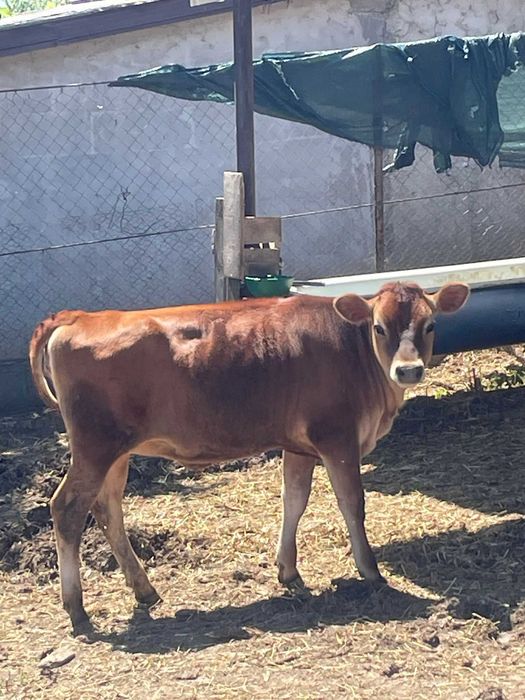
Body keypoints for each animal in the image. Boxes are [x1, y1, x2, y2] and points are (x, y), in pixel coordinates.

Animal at [29, 281, 469, 631]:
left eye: (430, 325)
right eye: (379, 327)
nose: (408, 371)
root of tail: (78, 317)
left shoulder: (299, 445)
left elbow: (294, 500)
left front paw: (288, 570)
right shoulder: (337, 438)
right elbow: (352, 503)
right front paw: (371, 571)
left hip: (116, 452)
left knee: (108, 509)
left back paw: (144, 589)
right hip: (95, 446)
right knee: (67, 508)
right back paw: (77, 609)